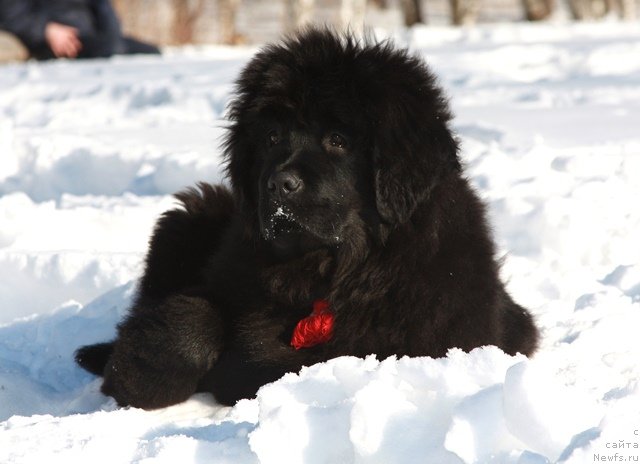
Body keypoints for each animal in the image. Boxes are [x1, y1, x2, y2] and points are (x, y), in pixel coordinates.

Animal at [75, 27, 536, 408]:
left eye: (338, 140)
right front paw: (138, 375)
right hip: (190, 216)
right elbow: (191, 320)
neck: (327, 270)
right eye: (272, 137)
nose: (279, 184)